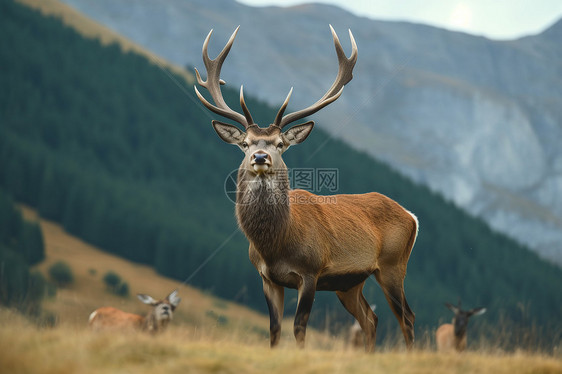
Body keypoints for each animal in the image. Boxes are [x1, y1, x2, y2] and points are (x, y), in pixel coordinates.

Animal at [192, 24, 416, 352]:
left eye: (280, 144)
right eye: (245, 143)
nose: (261, 157)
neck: (276, 243)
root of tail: (410, 215)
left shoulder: (311, 272)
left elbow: (299, 327)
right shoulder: (267, 277)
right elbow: (274, 329)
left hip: (393, 265)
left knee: (407, 318)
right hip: (350, 283)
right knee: (371, 319)